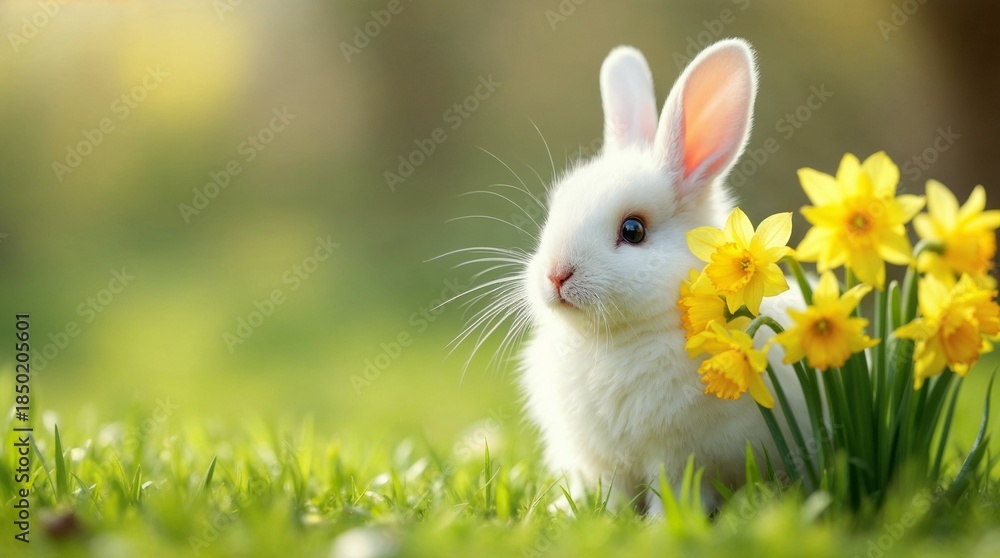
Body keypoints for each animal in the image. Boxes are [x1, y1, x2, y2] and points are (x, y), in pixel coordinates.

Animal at [518, 39, 810, 515]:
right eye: (554, 210)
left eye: (633, 230)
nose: (556, 275)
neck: (610, 340)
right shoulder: (602, 462)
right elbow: (611, 495)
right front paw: (590, 517)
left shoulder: (677, 457)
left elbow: (671, 492)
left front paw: (660, 523)